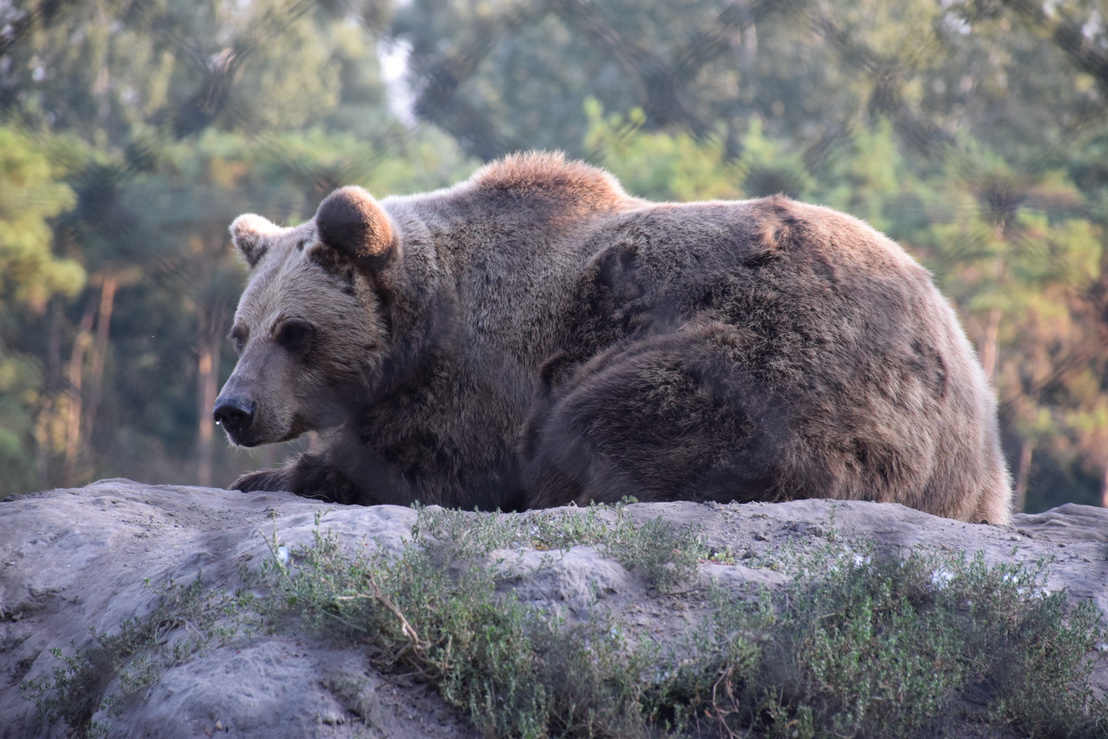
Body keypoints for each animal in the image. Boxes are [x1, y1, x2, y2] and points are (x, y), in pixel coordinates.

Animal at [213, 150, 1014, 522]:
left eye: (295, 331)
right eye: (240, 331)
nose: (233, 410)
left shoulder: (487, 366)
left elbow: (427, 461)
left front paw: (281, 475)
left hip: (792, 360)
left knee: (611, 418)